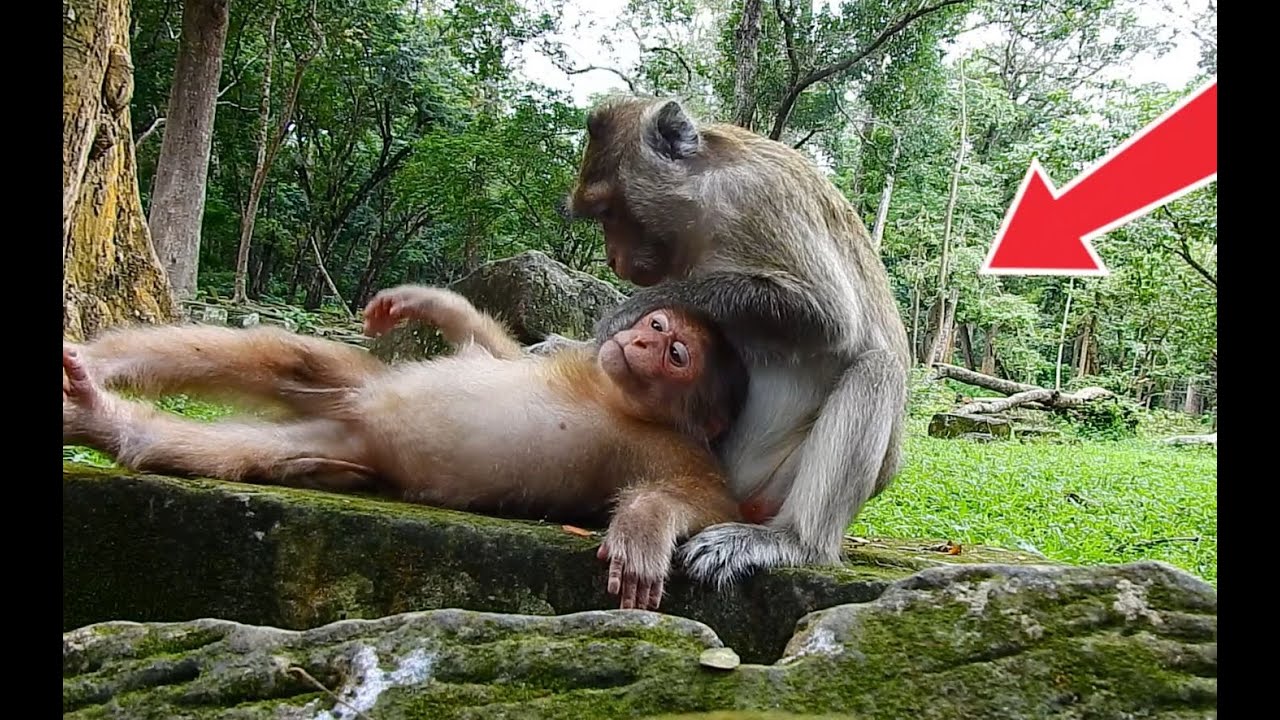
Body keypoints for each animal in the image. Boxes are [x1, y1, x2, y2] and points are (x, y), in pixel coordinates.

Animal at [62, 285, 750, 610]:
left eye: (675, 353)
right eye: (656, 325)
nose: (638, 342)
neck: (615, 397)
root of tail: (361, 420)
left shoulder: (677, 450)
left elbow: (713, 502)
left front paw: (644, 527)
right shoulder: (586, 364)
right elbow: (499, 351)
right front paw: (426, 302)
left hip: (347, 436)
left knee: (244, 440)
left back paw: (107, 418)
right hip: (358, 391)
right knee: (288, 356)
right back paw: (96, 372)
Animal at [548, 95, 912, 588]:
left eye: (608, 213)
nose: (612, 258)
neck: (707, 192)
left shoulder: (760, 197)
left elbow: (829, 316)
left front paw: (626, 312)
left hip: (772, 485)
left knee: (878, 369)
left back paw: (794, 542)